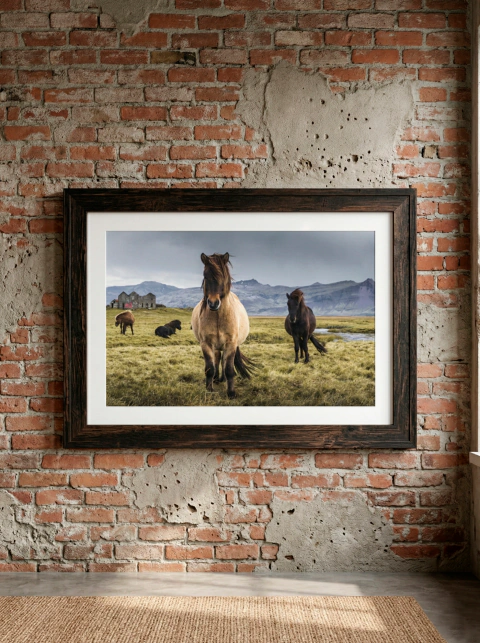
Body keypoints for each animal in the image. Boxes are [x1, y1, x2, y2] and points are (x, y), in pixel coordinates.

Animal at [191, 252, 255, 399]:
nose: (213, 303)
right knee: (217, 358)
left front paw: (231, 393)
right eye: (205, 276)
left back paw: (223, 379)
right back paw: (216, 379)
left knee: (223, 361)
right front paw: (209, 390)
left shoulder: (231, 343)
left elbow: (229, 369)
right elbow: (209, 368)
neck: (218, 317)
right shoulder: (206, 343)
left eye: (223, 276)